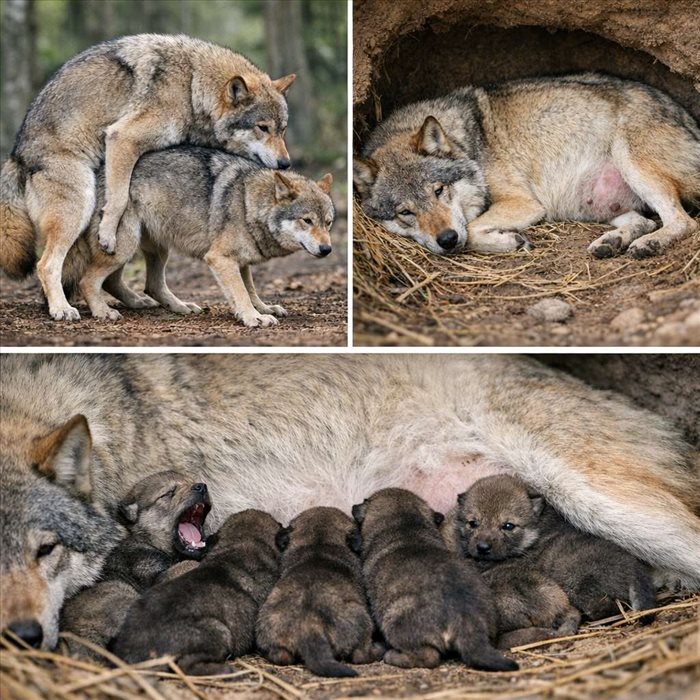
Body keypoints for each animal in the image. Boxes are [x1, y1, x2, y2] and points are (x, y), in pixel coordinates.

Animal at [0, 34, 295, 321]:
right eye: (262, 128)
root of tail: (16, 156)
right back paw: (62, 309)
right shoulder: (122, 138)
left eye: (282, 129)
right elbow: (118, 198)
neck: (191, 86)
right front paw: (107, 234)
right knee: (47, 265)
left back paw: (146, 302)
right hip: (80, 206)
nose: (285, 163)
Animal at [60, 471, 211, 657]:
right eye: (169, 493)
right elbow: (188, 564)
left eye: (192, 481)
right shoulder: (152, 572)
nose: (201, 486)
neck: (145, 538)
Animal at [61, 146, 334, 327]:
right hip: (124, 247)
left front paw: (264, 308)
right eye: (307, 221)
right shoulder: (219, 258)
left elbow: (250, 289)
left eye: (328, 222)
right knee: (88, 281)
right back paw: (103, 312)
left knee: (142, 285)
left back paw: (176, 306)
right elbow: (241, 292)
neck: (249, 203)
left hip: (154, 249)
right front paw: (253, 317)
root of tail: (97, 174)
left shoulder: (241, 261)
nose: (327, 250)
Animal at [354, 73, 700, 258]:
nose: (447, 240)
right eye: (405, 212)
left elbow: (472, 229)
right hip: (596, 204)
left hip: (629, 159)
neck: (469, 144)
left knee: (682, 222)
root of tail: (691, 120)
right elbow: (472, 229)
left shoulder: (525, 204)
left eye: (439, 191)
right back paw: (611, 242)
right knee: (645, 221)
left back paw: (648, 244)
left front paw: (508, 240)